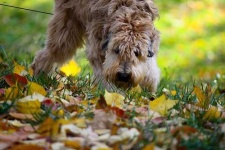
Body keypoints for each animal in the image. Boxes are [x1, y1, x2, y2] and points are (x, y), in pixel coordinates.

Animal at [31, 0, 160, 92]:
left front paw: (149, 86)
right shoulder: (97, 47)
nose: (123, 76)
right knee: (46, 54)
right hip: (66, 32)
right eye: (116, 50)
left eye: (137, 53)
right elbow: (103, 72)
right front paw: (113, 94)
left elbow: (150, 68)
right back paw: (37, 77)